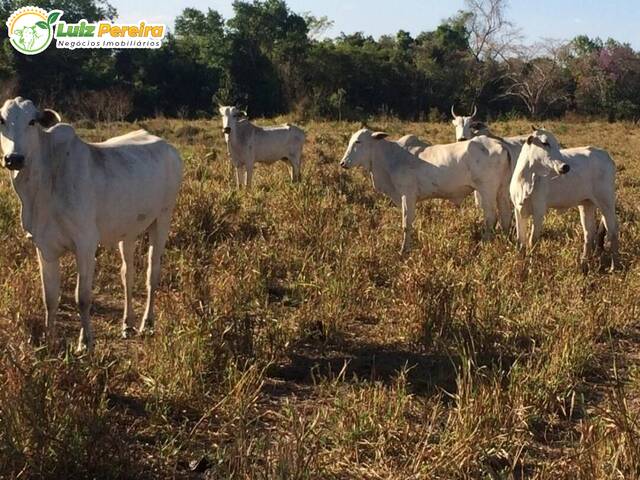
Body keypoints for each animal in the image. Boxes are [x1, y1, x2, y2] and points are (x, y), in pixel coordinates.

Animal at [0, 97, 185, 352]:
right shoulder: (44, 247)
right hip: (127, 231)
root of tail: (169, 148)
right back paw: (127, 324)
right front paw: (49, 341)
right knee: (127, 274)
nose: (14, 158)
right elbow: (50, 297)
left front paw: (85, 342)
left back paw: (146, 323)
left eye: (32, 121)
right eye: (1, 120)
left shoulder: (86, 244)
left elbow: (83, 297)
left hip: (163, 219)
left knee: (152, 272)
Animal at [340, 127, 510, 255]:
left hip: (486, 190)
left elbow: (406, 224)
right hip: (501, 191)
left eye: (358, 141)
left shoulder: (407, 195)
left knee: (491, 218)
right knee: (505, 218)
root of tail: (500, 144)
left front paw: (404, 250)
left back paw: (485, 245)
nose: (343, 163)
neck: (390, 157)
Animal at [508, 128, 616, 270]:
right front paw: (520, 264)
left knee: (613, 232)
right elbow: (521, 240)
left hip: (606, 202)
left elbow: (532, 240)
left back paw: (614, 266)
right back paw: (583, 264)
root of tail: (606, 155)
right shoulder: (518, 210)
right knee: (589, 233)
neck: (525, 179)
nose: (565, 167)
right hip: (587, 204)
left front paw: (531, 267)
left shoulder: (539, 211)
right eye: (545, 143)